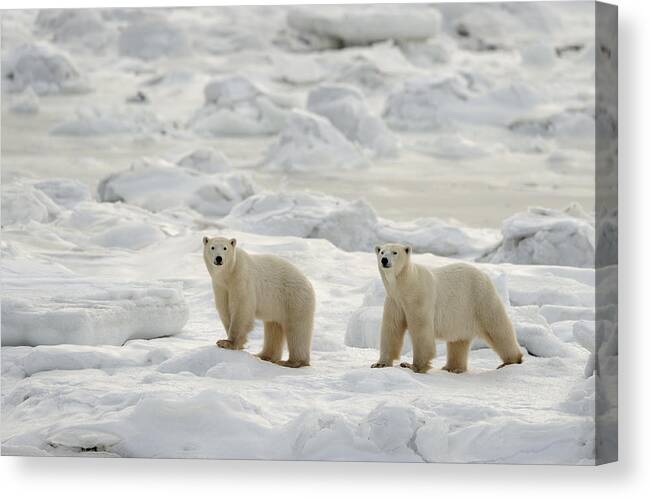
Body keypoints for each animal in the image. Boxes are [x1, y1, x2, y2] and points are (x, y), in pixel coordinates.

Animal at [204, 236, 316, 370]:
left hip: (294, 300)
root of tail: (308, 283)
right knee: (273, 328)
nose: (219, 258)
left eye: (225, 248)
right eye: (212, 247)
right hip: (277, 306)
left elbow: (241, 309)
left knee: (297, 330)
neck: (229, 275)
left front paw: (227, 343)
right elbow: (224, 310)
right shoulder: (220, 286)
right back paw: (263, 355)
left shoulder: (242, 279)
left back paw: (292, 362)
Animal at [372, 244, 524, 374]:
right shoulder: (395, 301)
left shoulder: (419, 298)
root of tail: (484, 275)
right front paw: (379, 363)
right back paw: (452, 367)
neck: (405, 285)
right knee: (458, 340)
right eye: (382, 252)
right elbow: (391, 328)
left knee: (498, 328)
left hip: (479, 298)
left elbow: (421, 330)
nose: (384, 260)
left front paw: (413, 366)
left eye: (394, 252)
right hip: (462, 314)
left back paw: (511, 361)